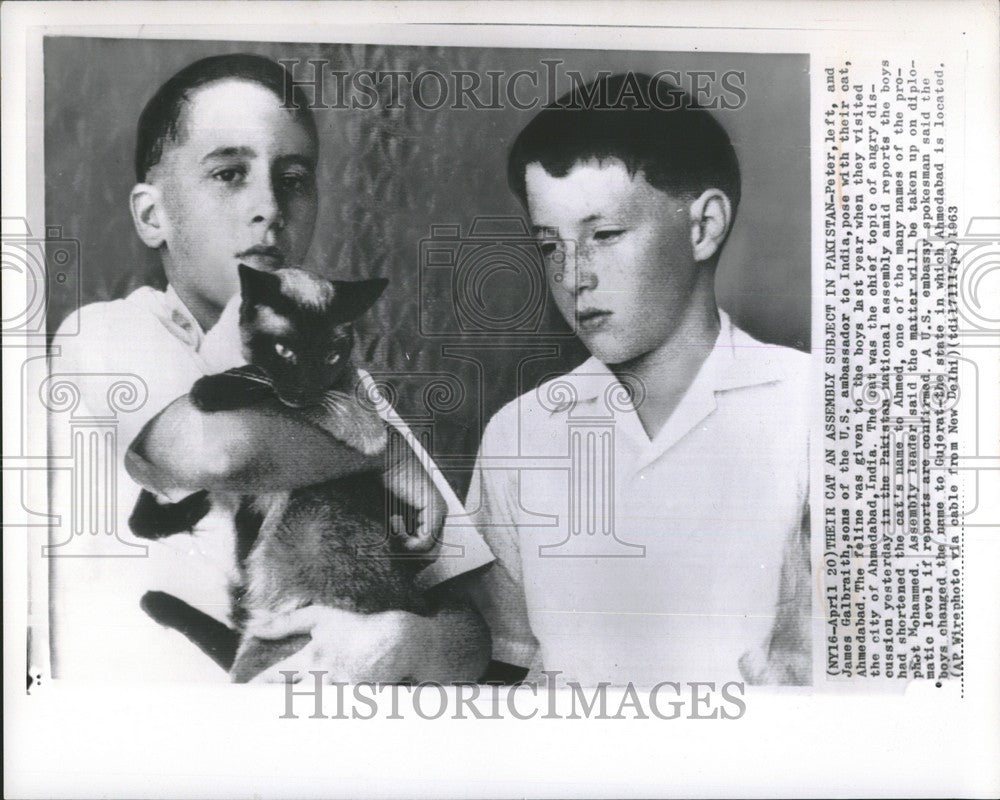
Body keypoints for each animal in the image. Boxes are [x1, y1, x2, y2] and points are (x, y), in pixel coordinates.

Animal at [128, 266, 438, 680]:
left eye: (330, 357)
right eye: (285, 352)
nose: (303, 392)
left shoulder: (348, 413)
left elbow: (257, 389)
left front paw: (210, 388)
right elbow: (142, 507)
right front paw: (183, 508)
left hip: (267, 642)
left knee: (234, 652)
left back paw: (161, 601)